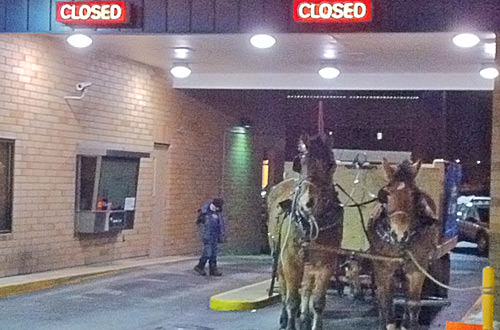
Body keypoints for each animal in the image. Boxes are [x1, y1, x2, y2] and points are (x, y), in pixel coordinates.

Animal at [266, 134, 344, 330]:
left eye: (331, 164)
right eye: (300, 163)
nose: (308, 203)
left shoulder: (326, 264)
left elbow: (318, 302)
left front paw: (312, 320)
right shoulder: (290, 261)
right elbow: (293, 299)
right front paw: (290, 321)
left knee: (307, 286)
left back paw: (305, 318)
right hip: (278, 256)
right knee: (284, 287)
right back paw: (285, 317)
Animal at [370, 159, 440, 328]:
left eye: (414, 194)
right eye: (387, 193)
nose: (400, 234)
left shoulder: (417, 268)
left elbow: (413, 305)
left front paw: (408, 324)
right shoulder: (384, 269)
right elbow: (387, 303)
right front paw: (388, 323)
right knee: (382, 299)